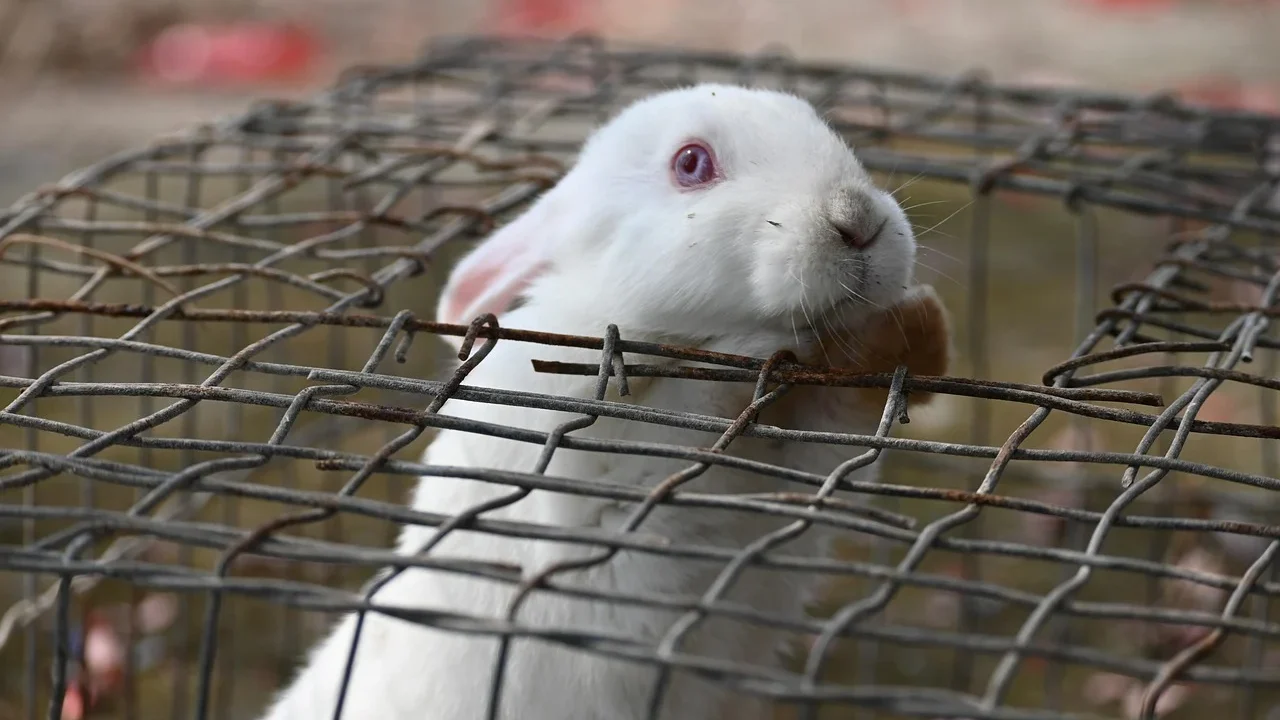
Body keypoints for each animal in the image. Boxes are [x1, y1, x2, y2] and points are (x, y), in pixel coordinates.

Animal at [258, 83, 952, 720]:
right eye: (691, 163)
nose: (858, 220)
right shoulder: (604, 516)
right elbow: (691, 413)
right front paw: (762, 346)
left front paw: (920, 326)